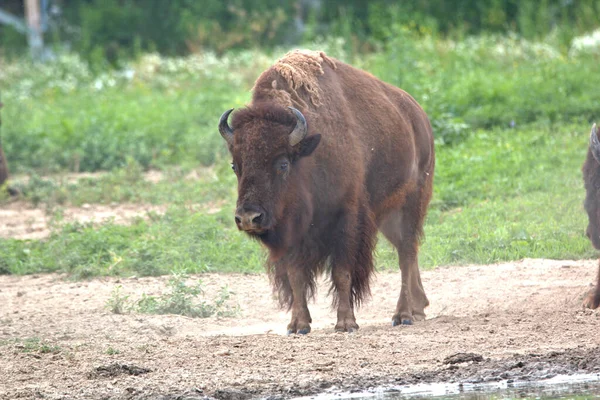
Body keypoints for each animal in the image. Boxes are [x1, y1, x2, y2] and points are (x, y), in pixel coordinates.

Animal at [218, 48, 434, 332]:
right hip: (387, 216)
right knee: (406, 250)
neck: (310, 153)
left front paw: (346, 323)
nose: (248, 218)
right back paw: (419, 308)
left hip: (412, 202)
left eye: (283, 164)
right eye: (235, 165)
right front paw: (298, 325)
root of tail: (418, 115)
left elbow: (342, 272)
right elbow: (296, 275)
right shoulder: (292, 231)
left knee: (406, 254)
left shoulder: (347, 219)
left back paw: (404, 314)